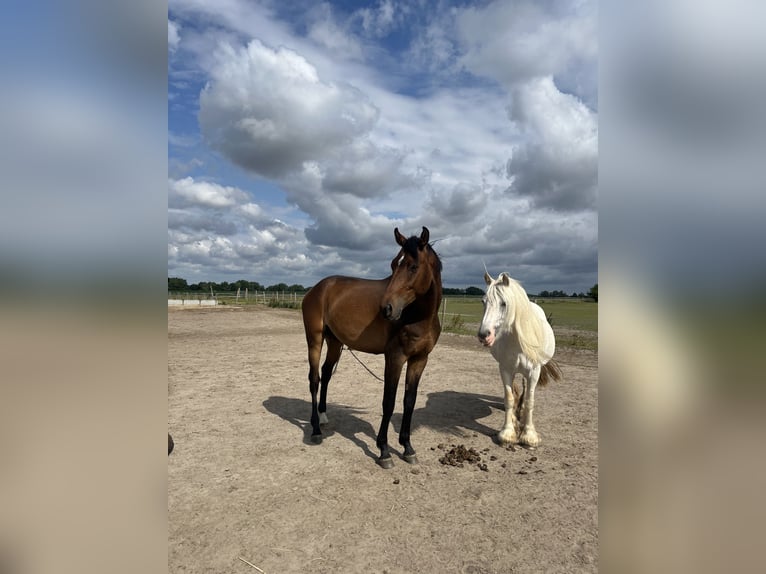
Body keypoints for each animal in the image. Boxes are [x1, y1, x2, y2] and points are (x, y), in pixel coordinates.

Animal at [301, 226, 442, 469]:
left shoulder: (419, 359)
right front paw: (384, 450)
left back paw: (324, 417)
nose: (387, 308)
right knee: (315, 379)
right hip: (315, 340)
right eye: (394, 264)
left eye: (413, 266)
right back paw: (316, 429)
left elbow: (409, 401)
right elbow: (389, 402)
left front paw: (407, 447)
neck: (417, 316)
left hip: (335, 342)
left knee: (326, 374)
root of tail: (317, 288)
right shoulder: (394, 358)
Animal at [477, 272, 562, 447]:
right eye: (483, 301)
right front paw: (507, 433)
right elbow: (509, 399)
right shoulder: (505, 370)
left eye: (504, 303)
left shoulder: (534, 372)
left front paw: (529, 435)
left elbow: (530, 400)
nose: (484, 335)